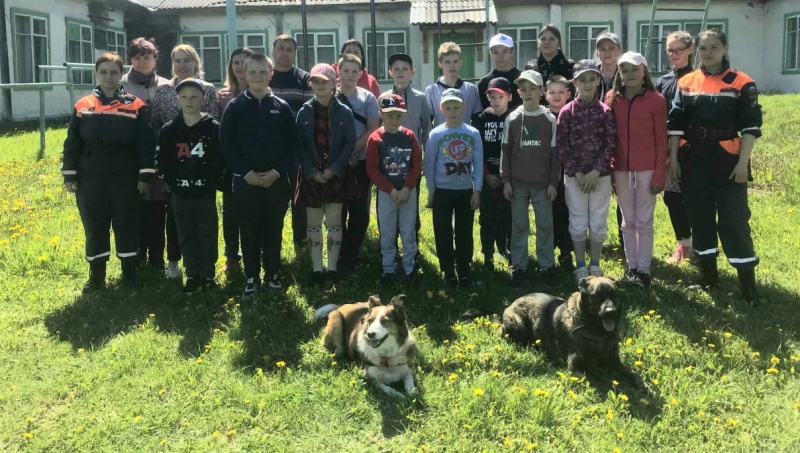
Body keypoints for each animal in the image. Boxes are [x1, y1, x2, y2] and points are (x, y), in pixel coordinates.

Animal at [504, 274, 652, 394]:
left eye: (614, 295)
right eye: (596, 296)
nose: (611, 312)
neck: (597, 333)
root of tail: (515, 300)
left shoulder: (615, 362)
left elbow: (633, 373)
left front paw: (644, 386)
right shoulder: (575, 370)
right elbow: (603, 384)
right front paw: (622, 390)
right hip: (517, 322)